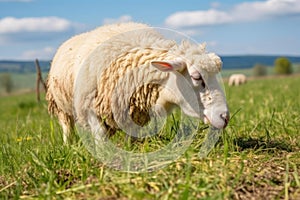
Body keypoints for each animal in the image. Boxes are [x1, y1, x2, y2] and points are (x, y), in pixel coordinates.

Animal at [46, 21, 230, 143]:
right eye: (197, 77)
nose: (225, 117)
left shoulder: (134, 113)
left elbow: (130, 136)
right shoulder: (89, 107)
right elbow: (100, 136)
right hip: (60, 106)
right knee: (67, 127)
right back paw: (68, 145)